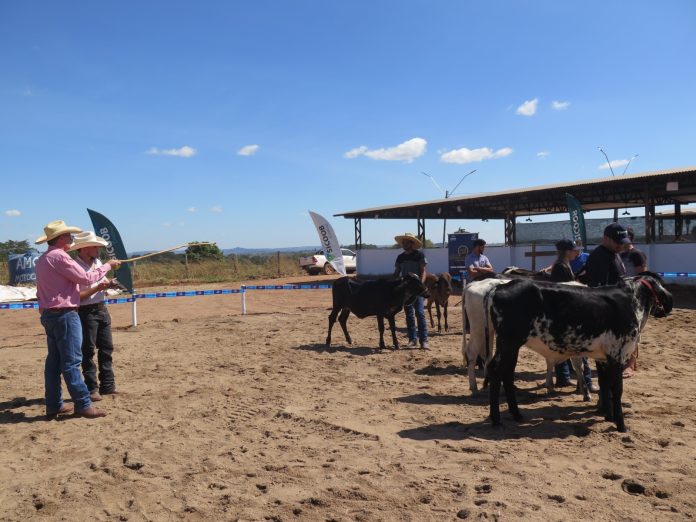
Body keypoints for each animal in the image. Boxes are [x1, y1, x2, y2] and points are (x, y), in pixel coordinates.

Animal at [486, 273, 672, 432]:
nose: (669, 303)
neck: (631, 300)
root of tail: (499, 287)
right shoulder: (616, 355)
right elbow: (617, 390)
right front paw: (621, 425)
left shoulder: (603, 358)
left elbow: (605, 386)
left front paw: (608, 416)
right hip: (509, 342)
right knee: (496, 371)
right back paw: (496, 419)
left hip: (512, 345)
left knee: (507, 373)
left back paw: (517, 414)